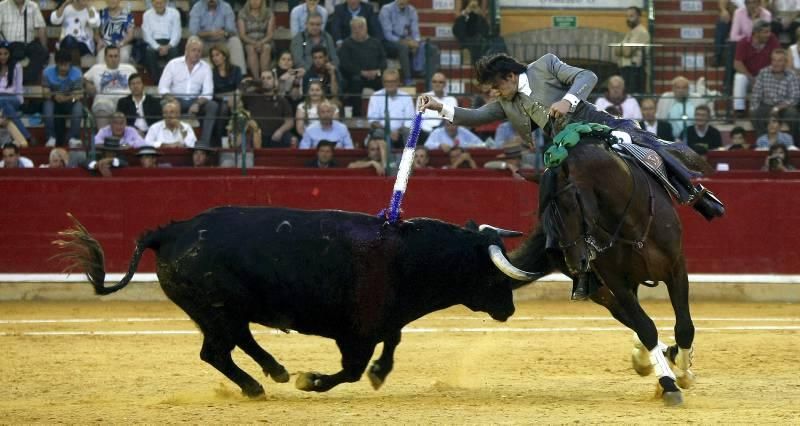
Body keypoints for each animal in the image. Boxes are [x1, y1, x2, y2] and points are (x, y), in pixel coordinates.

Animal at [54, 206, 544, 396]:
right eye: (491, 275)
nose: (510, 310)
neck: (411, 254)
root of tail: (169, 232)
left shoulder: (382, 323)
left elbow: (391, 345)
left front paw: (379, 374)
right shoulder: (357, 332)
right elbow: (351, 369)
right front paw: (313, 381)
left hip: (224, 312)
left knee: (238, 343)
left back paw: (274, 371)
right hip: (215, 310)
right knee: (216, 351)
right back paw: (257, 386)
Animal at [512, 133, 692, 406]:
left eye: (569, 205)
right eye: (543, 211)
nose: (574, 262)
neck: (632, 222)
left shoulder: (676, 268)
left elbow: (684, 327)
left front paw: (683, 372)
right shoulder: (616, 281)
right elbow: (645, 326)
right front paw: (668, 383)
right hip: (602, 290)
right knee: (627, 316)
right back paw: (648, 359)